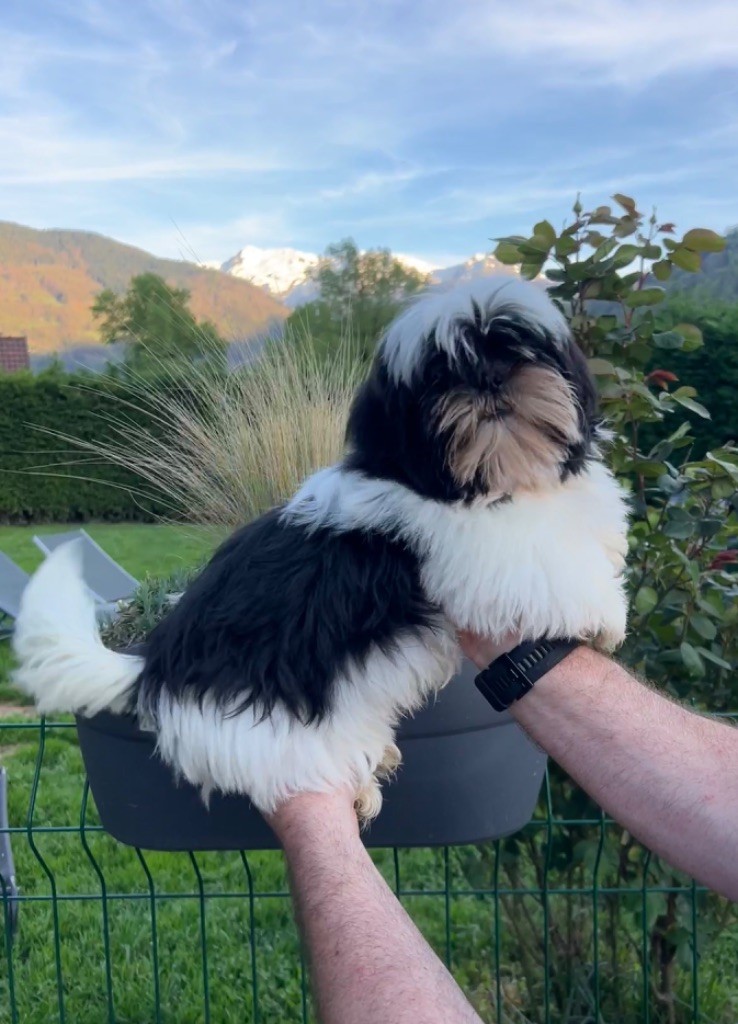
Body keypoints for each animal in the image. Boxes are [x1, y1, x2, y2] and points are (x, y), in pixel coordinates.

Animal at [13, 276, 629, 822]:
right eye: (437, 377)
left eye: (519, 349)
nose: (487, 378)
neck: (490, 476)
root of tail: (154, 669)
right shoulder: (483, 555)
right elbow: (550, 579)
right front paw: (604, 618)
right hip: (273, 737)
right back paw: (357, 784)